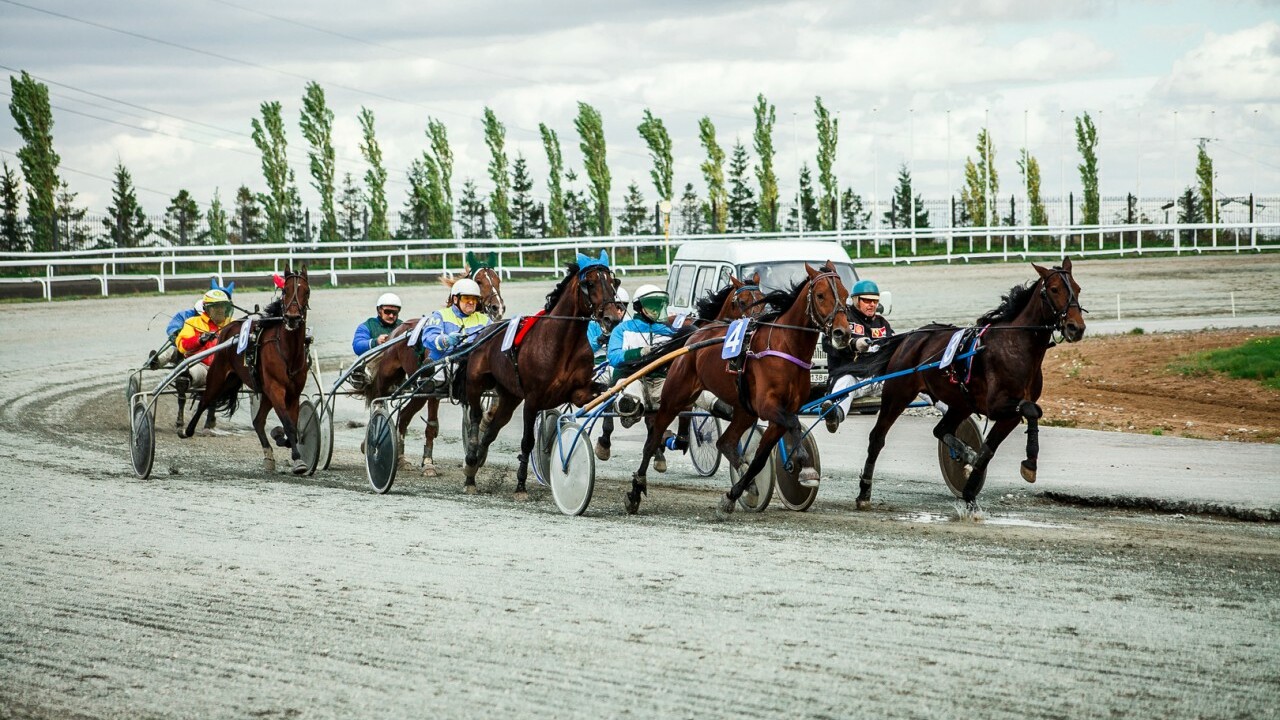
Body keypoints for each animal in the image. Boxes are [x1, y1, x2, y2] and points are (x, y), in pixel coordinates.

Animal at [181, 267, 313, 475]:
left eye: (305, 291)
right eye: (285, 291)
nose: (292, 318)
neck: (288, 351)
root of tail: (228, 328)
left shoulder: (292, 393)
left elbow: (292, 425)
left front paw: (282, 439)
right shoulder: (276, 388)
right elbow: (288, 424)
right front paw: (298, 460)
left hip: (254, 388)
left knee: (258, 421)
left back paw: (268, 456)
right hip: (219, 376)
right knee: (205, 400)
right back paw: (188, 430)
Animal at [363, 260, 505, 475]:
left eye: (498, 280)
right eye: (479, 281)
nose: (497, 307)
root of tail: (396, 331)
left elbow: (493, 403)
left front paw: (485, 424)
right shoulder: (435, 389)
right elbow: (431, 425)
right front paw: (428, 463)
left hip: (417, 392)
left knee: (404, 416)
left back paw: (401, 458)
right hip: (391, 374)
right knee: (378, 398)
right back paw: (372, 438)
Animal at [459, 259, 619, 499]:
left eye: (613, 282)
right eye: (589, 283)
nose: (612, 318)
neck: (563, 342)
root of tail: (484, 332)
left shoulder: (579, 392)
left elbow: (607, 394)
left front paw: (604, 444)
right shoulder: (533, 399)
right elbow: (527, 442)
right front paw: (520, 485)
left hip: (509, 396)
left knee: (492, 430)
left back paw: (477, 462)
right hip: (476, 383)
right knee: (476, 417)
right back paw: (470, 467)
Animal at [629, 261, 851, 516]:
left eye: (845, 293)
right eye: (820, 295)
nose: (842, 333)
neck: (785, 347)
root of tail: (695, 335)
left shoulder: (778, 414)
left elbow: (759, 459)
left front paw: (733, 494)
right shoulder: (768, 406)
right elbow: (794, 424)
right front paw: (806, 468)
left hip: (744, 410)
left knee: (725, 442)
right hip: (676, 395)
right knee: (653, 438)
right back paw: (635, 490)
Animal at [857, 258, 1086, 510]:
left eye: (1077, 289)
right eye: (1054, 289)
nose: (1076, 328)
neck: (1016, 346)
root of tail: (910, 337)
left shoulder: (1011, 413)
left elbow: (992, 446)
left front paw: (970, 490)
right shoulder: (996, 406)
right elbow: (1032, 410)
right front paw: (1029, 463)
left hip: (961, 403)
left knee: (941, 430)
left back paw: (966, 453)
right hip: (897, 393)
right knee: (877, 438)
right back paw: (864, 492)